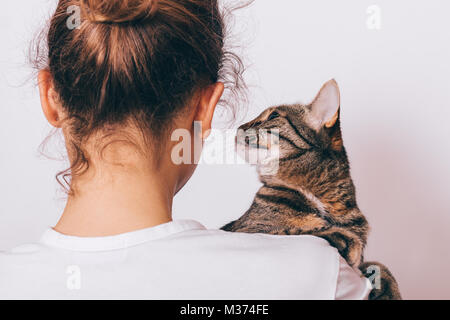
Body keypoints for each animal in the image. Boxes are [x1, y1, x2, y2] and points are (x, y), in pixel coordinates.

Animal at [223, 80, 402, 300]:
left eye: (273, 116)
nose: (239, 127)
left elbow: (379, 265)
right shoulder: (249, 229)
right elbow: (298, 229)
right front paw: (345, 238)